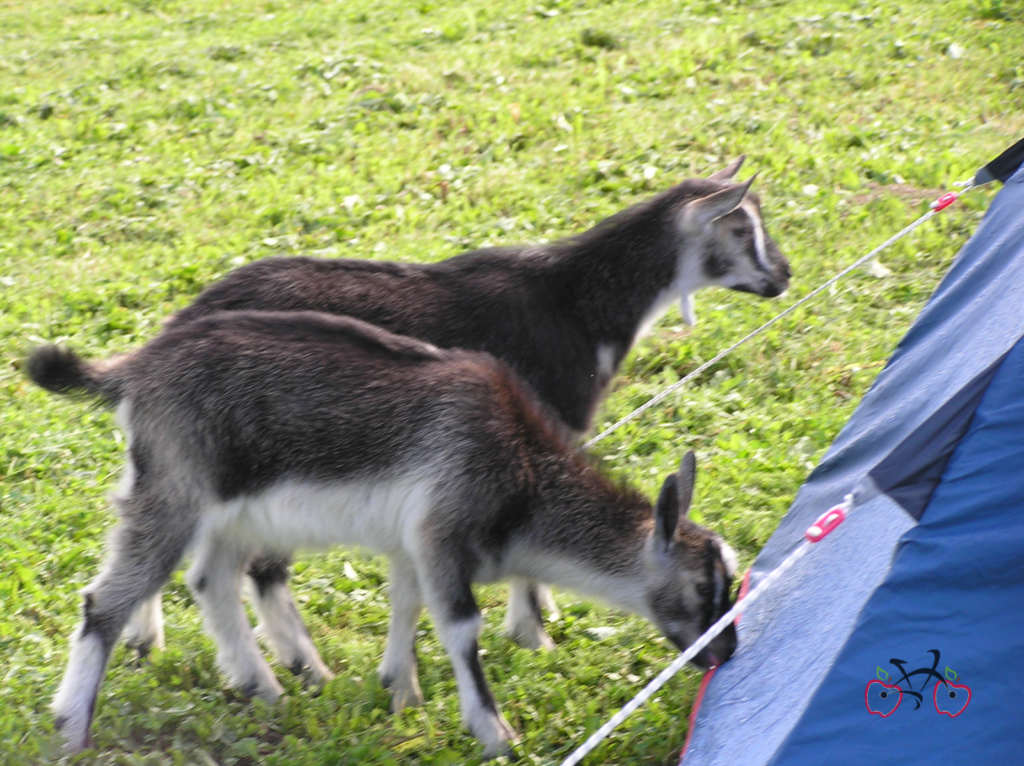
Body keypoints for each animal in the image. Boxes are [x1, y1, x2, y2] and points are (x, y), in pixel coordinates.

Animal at [28, 309, 741, 753]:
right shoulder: (443, 524)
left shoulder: (412, 542)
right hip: (176, 494)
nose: (726, 653)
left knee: (212, 580)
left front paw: (401, 693)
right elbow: (461, 627)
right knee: (105, 603)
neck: (522, 471)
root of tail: (136, 369)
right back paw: (72, 729)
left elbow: (408, 605)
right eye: (701, 587)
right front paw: (494, 733)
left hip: (226, 510)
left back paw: (267, 686)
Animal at [138, 158, 782, 655]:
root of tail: (181, 322)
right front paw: (533, 631)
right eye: (741, 231)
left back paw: (151, 639)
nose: (783, 275)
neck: (576, 303)